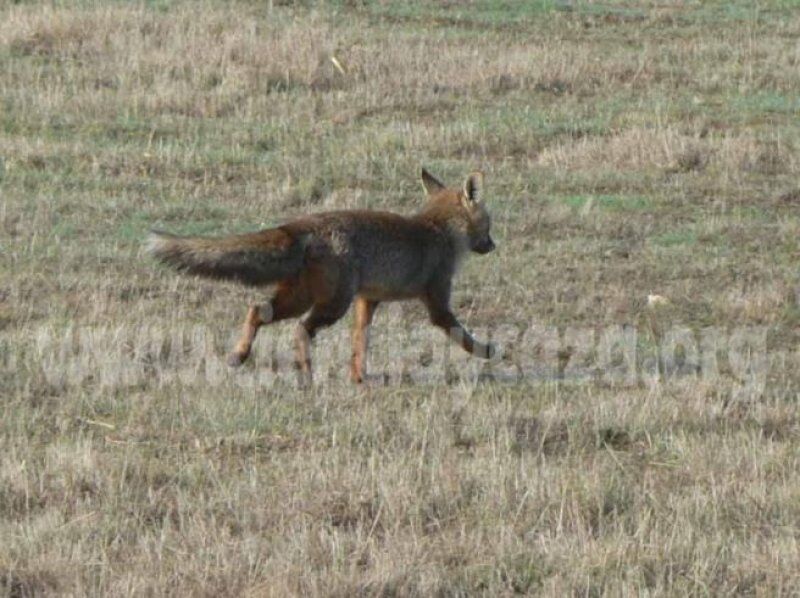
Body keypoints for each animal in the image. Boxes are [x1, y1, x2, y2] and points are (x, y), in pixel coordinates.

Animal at [144, 169, 494, 384]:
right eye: (489, 225)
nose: (493, 246)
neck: (439, 229)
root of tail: (303, 224)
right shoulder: (436, 301)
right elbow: (463, 337)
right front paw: (489, 352)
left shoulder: (367, 300)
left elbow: (360, 343)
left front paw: (359, 378)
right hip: (331, 304)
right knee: (301, 329)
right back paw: (306, 376)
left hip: (301, 298)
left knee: (257, 310)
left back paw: (239, 355)